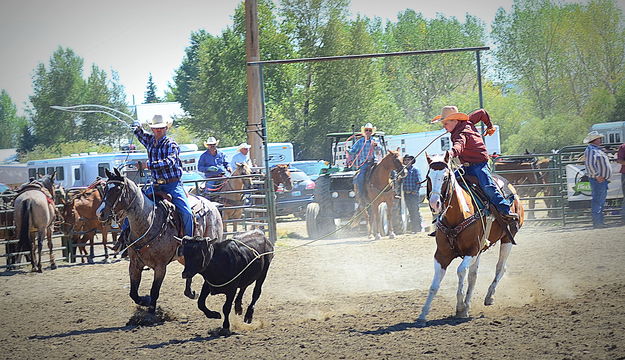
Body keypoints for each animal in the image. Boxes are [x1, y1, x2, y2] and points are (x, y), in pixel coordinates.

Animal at [96, 169, 223, 312]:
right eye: (105, 189)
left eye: (117, 190)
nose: (99, 213)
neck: (148, 222)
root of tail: (212, 205)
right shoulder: (134, 264)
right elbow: (133, 293)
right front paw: (144, 300)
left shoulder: (160, 267)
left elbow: (154, 291)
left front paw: (151, 308)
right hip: (183, 257)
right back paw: (190, 292)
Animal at [420, 153, 520, 322]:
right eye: (428, 177)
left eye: (445, 177)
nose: (434, 203)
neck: (458, 214)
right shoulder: (441, 255)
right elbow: (434, 285)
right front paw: (423, 312)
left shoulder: (472, 250)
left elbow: (461, 271)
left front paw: (460, 306)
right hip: (481, 249)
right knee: (473, 275)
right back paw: (468, 304)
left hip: (508, 238)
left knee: (500, 267)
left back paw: (489, 297)